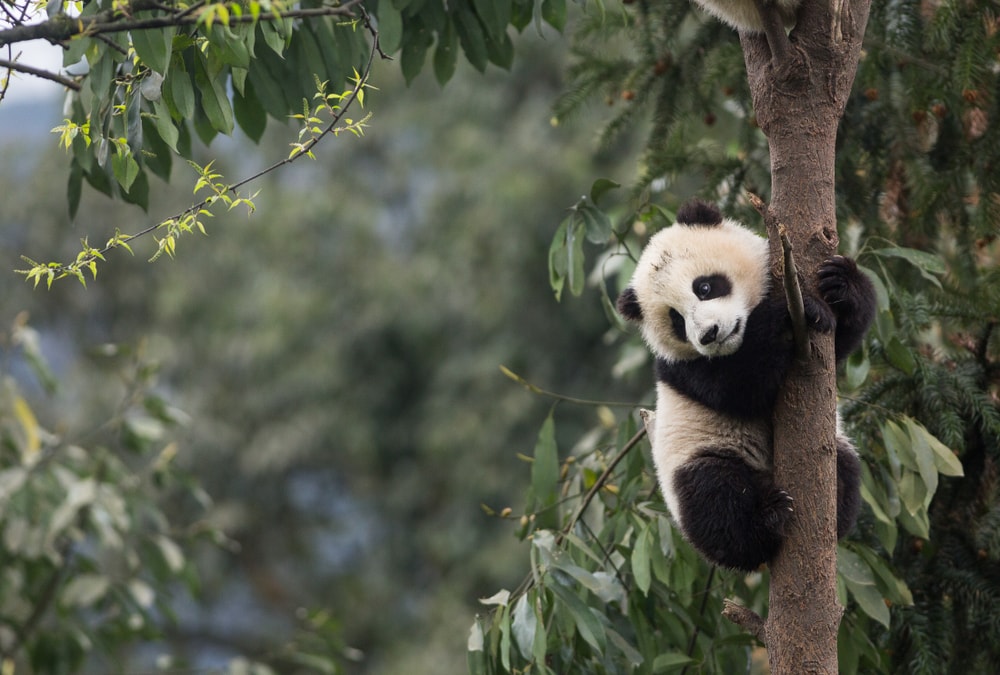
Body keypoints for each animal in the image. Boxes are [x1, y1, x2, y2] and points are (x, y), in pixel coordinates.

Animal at [616, 199, 875, 571]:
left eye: (704, 287)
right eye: (676, 320)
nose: (709, 335)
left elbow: (841, 341)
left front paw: (840, 283)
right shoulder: (684, 368)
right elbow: (739, 387)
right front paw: (786, 314)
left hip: (837, 444)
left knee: (847, 465)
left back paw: (835, 510)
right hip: (698, 456)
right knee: (715, 499)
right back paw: (767, 520)